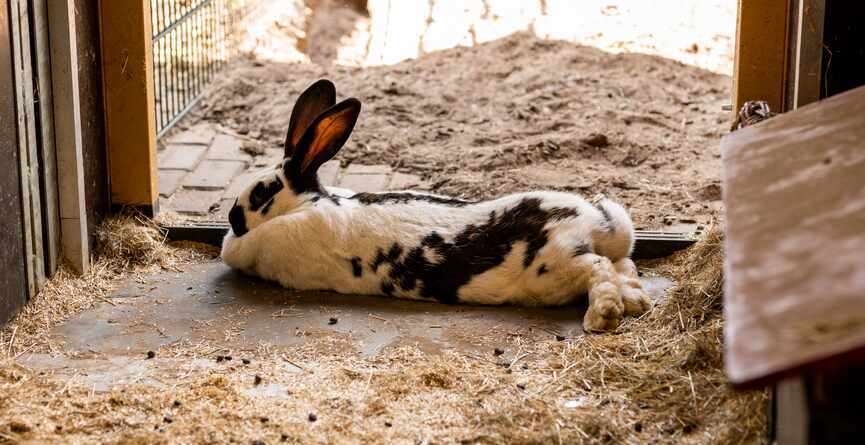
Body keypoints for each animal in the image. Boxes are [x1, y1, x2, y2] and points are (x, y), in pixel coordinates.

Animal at [219, 79, 652, 330]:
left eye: (261, 192)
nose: (232, 218)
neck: (304, 205)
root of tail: (592, 221)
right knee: (624, 266)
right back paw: (636, 302)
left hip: (555, 268)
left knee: (598, 268)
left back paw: (602, 316)